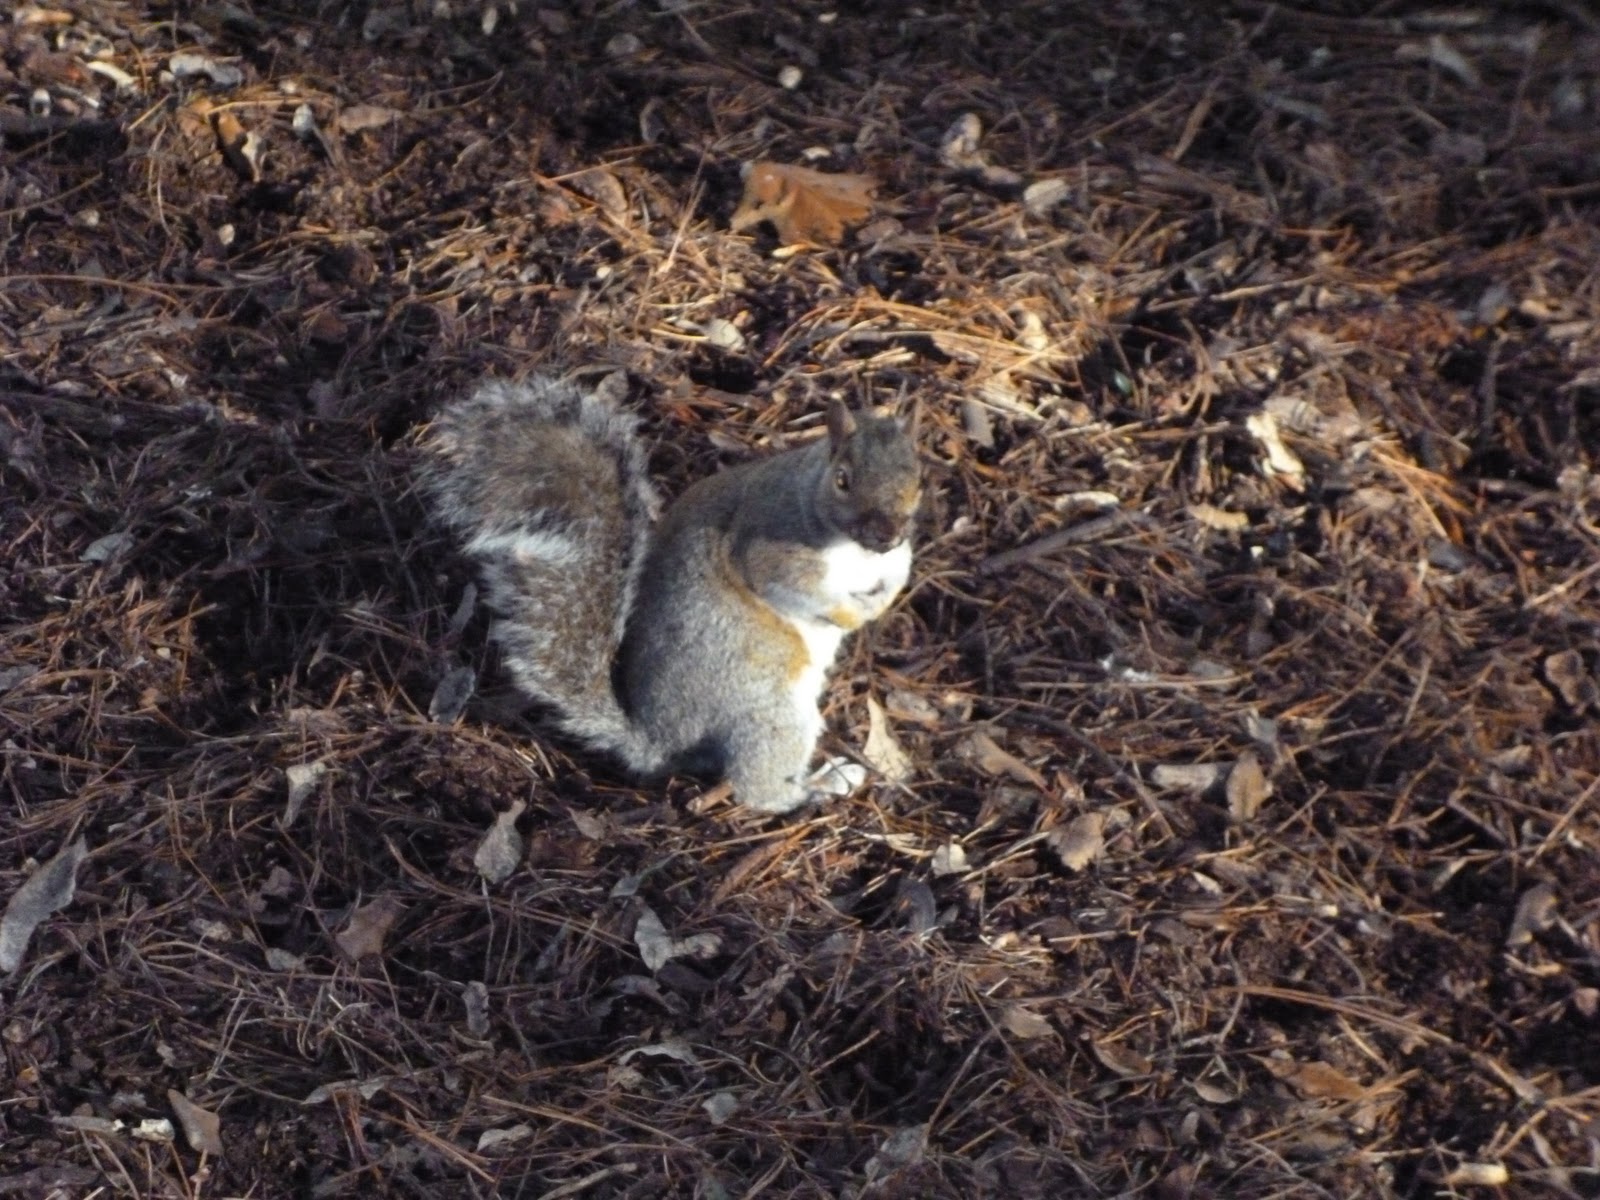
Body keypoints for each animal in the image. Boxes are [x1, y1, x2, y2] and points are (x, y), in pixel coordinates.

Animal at [423, 374, 923, 814]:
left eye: (919, 480)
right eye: (843, 479)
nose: (886, 534)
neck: (858, 551)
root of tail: (658, 742)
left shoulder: (896, 557)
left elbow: (898, 573)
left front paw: (881, 602)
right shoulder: (768, 547)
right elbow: (796, 590)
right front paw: (852, 617)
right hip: (771, 710)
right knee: (759, 789)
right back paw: (822, 786)